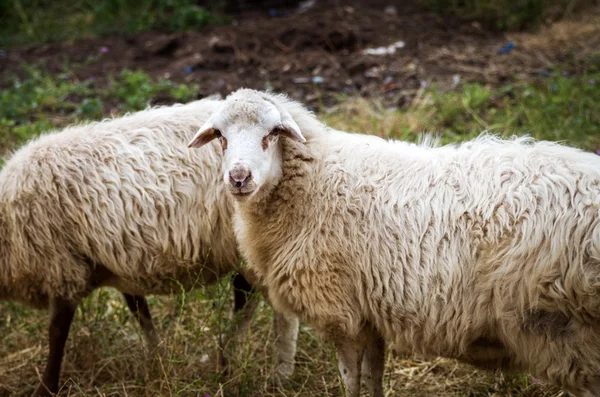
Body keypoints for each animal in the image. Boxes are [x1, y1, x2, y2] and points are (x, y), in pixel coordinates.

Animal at [0, 100, 300, 397]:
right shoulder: (120, 265)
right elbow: (140, 312)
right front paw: (158, 360)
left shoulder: (62, 267)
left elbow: (56, 333)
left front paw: (46, 388)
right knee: (245, 299)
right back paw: (226, 359)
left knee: (279, 310)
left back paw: (279, 374)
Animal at [190, 88, 600, 396]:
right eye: (221, 136)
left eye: (273, 132)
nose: (238, 178)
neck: (314, 182)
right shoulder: (370, 314)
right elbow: (375, 374)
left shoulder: (342, 314)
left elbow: (351, 379)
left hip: (573, 331)